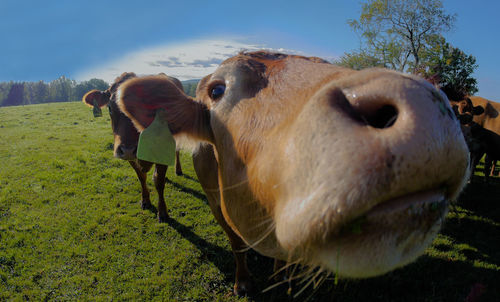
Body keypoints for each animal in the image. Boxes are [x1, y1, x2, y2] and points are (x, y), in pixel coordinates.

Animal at [82, 71, 184, 222]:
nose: (128, 150)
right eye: (110, 108)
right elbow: (141, 176)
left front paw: (162, 212)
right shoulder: (129, 157)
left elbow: (158, 181)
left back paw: (178, 170)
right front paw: (145, 200)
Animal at [116, 51, 468, 294]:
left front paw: (282, 277)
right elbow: (236, 245)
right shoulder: (217, 205)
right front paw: (243, 283)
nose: (418, 98)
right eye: (217, 90)